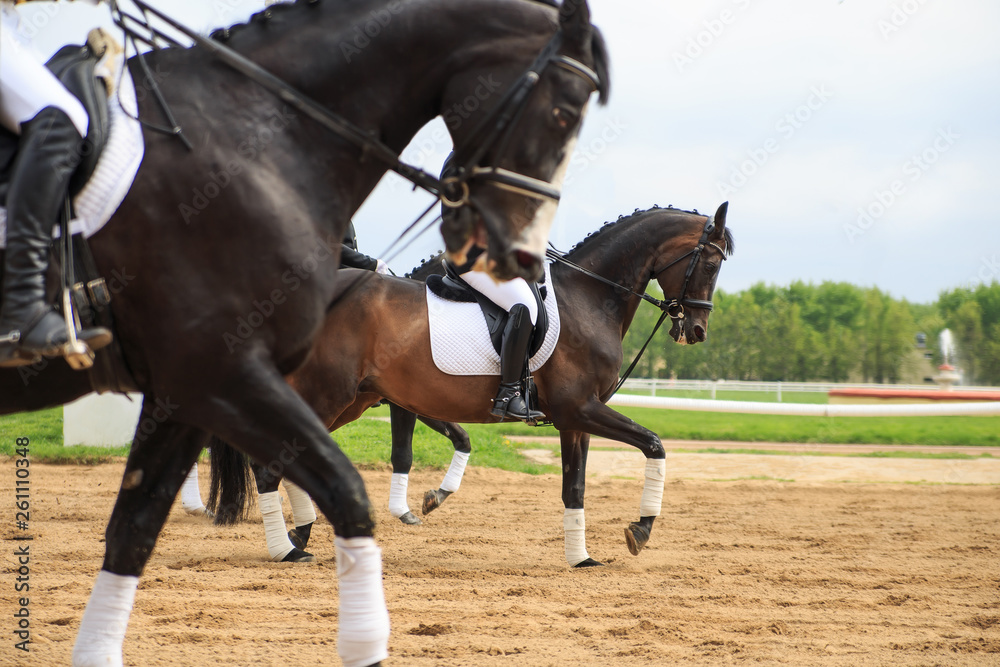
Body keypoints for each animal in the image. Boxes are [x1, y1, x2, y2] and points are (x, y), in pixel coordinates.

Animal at [0, 1, 609, 664]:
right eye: (565, 109)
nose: (514, 253)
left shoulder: (195, 387)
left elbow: (135, 527)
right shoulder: (222, 374)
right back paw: (289, 535)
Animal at [210, 203, 734, 568]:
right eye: (711, 263)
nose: (697, 331)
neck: (588, 297)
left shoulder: (573, 420)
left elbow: (575, 487)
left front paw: (581, 558)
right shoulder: (581, 408)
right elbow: (655, 444)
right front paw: (640, 529)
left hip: (348, 400)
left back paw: (299, 536)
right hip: (328, 393)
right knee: (271, 463)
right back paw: (287, 549)